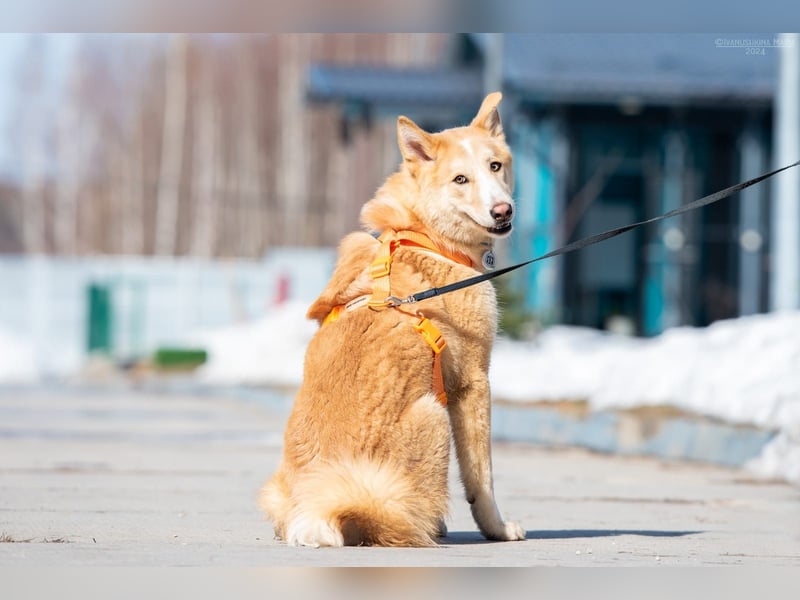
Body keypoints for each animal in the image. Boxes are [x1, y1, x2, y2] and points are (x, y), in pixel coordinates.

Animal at [260, 91, 528, 548]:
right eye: (460, 180)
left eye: (495, 166)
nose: (502, 210)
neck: (424, 233)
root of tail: (315, 508)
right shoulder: (473, 382)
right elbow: (482, 479)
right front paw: (498, 530)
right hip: (434, 415)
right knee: (398, 523)